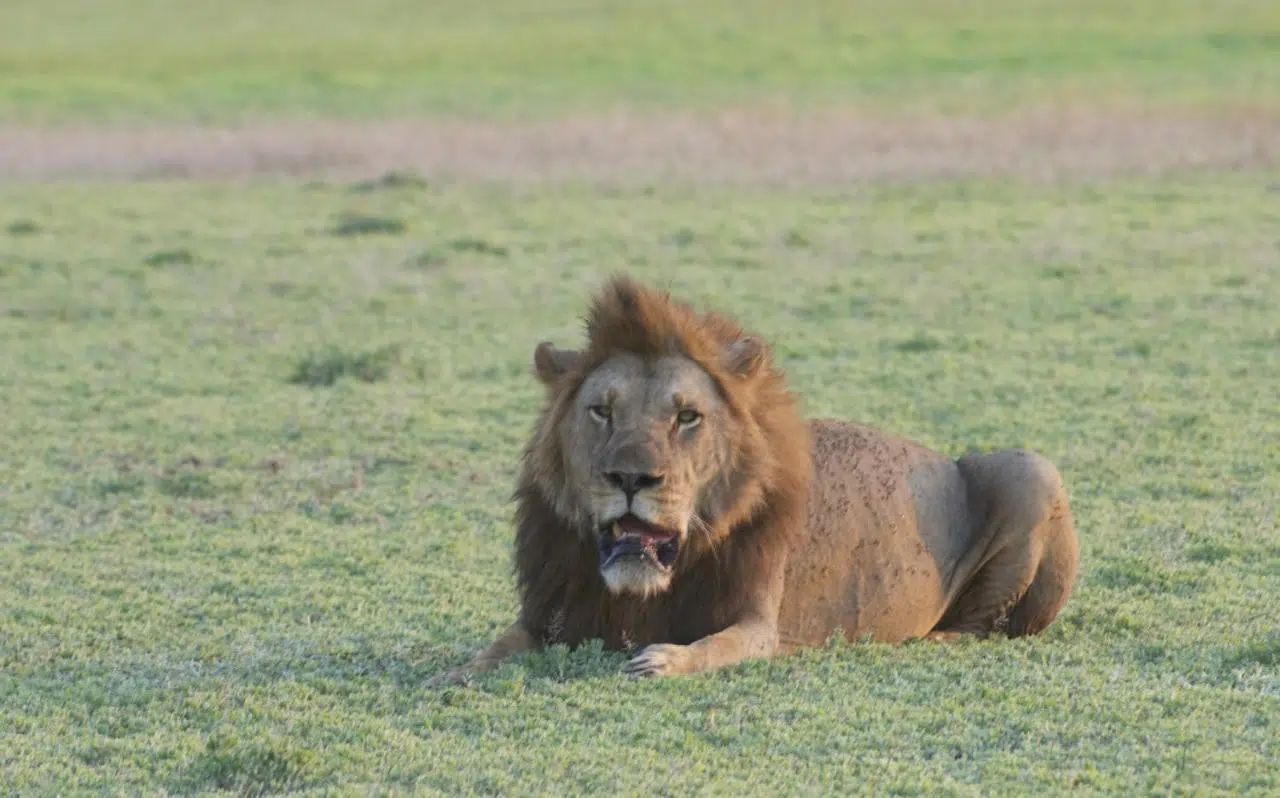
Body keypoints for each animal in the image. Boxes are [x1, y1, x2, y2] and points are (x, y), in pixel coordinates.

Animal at [432, 276, 1079, 682]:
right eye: (602, 411)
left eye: (687, 416)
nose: (632, 477)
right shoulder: (549, 612)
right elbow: (499, 646)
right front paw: (454, 673)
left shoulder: (757, 622)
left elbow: (714, 647)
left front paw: (661, 661)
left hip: (1030, 468)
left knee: (985, 625)